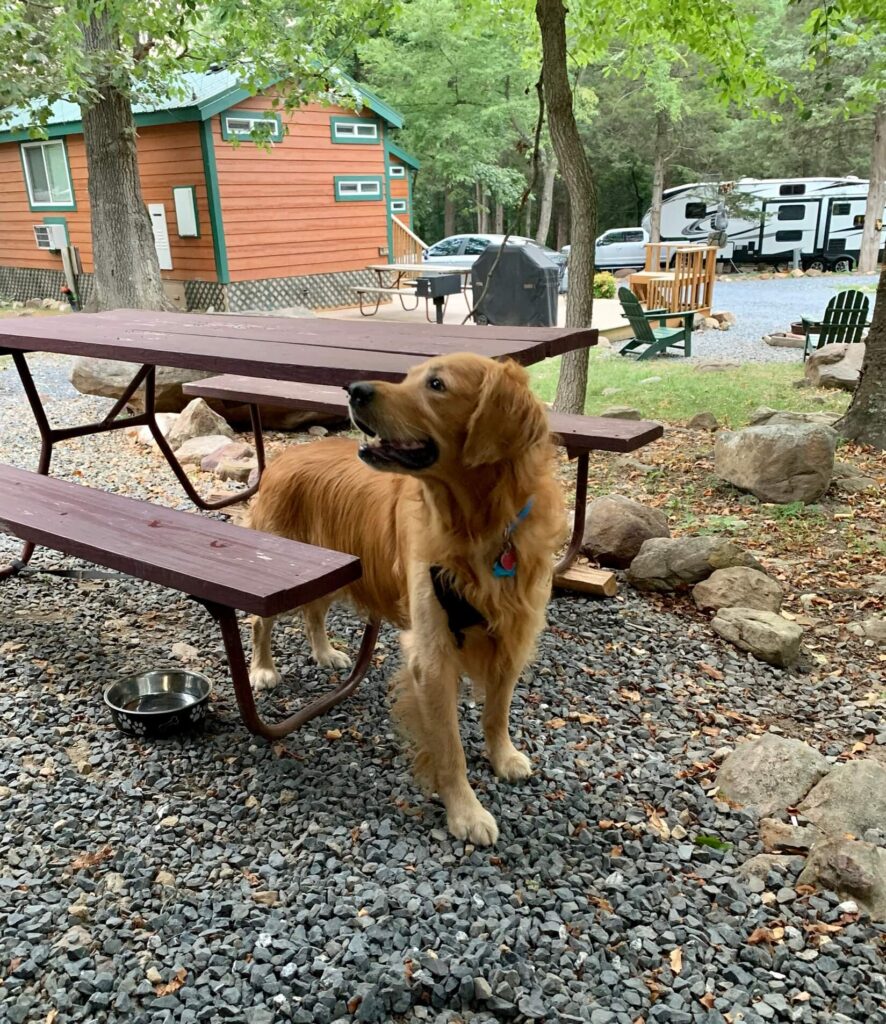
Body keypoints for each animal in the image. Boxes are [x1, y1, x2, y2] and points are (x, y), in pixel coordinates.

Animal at [246, 356, 565, 843]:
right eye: (410, 376)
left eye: (436, 384)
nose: (352, 389)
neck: (478, 527)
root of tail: (282, 457)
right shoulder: (432, 654)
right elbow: (450, 747)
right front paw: (466, 812)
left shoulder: (514, 633)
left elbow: (498, 711)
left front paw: (503, 756)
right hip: (286, 571)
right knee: (261, 622)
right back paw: (262, 668)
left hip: (329, 571)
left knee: (313, 613)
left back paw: (324, 652)